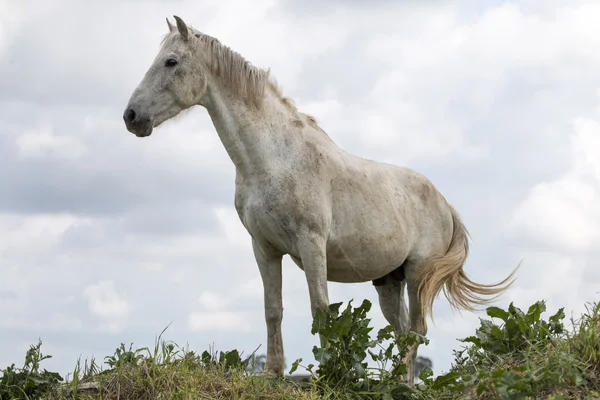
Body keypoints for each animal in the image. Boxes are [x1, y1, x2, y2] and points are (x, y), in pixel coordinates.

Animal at [124, 15, 516, 384]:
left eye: (171, 62)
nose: (131, 116)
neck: (273, 158)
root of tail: (444, 204)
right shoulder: (264, 248)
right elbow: (273, 308)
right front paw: (273, 372)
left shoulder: (311, 244)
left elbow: (321, 310)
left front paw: (329, 372)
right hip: (389, 281)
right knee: (402, 330)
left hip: (419, 274)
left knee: (416, 331)